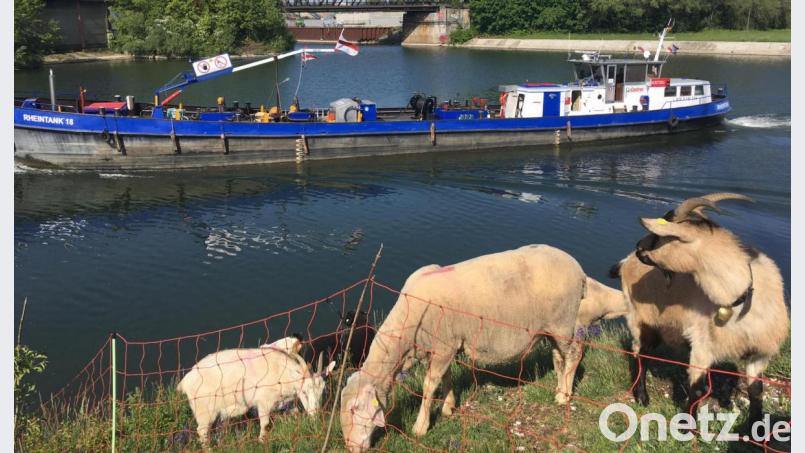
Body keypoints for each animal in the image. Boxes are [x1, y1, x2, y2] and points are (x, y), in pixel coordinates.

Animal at [176, 336, 336, 446]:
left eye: (322, 391)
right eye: (304, 391)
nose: (315, 415)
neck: (282, 371)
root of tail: (185, 381)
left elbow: (294, 412)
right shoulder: (263, 401)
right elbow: (264, 423)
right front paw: (261, 442)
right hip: (204, 410)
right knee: (202, 431)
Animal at [339, 244, 590, 452]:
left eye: (354, 409)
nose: (351, 448)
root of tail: (579, 270)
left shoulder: (443, 347)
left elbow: (429, 386)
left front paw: (420, 427)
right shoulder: (444, 346)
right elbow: (446, 378)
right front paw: (448, 407)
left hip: (563, 321)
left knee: (575, 352)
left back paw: (564, 396)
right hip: (552, 328)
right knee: (559, 356)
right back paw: (559, 387)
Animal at [609, 193, 789, 423]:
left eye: (660, 236)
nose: (639, 245)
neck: (742, 299)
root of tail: (625, 262)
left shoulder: (759, 354)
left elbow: (756, 391)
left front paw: (755, 426)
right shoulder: (702, 346)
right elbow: (697, 390)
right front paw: (686, 426)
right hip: (640, 319)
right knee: (640, 353)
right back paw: (642, 397)